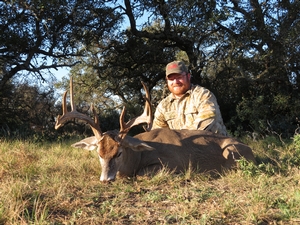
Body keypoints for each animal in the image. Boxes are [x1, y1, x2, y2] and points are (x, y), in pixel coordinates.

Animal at [55, 78, 255, 182]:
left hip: (232, 152)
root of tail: (251, 151)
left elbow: (141, 175)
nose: (106, 179)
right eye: (99, 153)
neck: (138, 156)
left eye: (119, 153)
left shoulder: (172, 164)